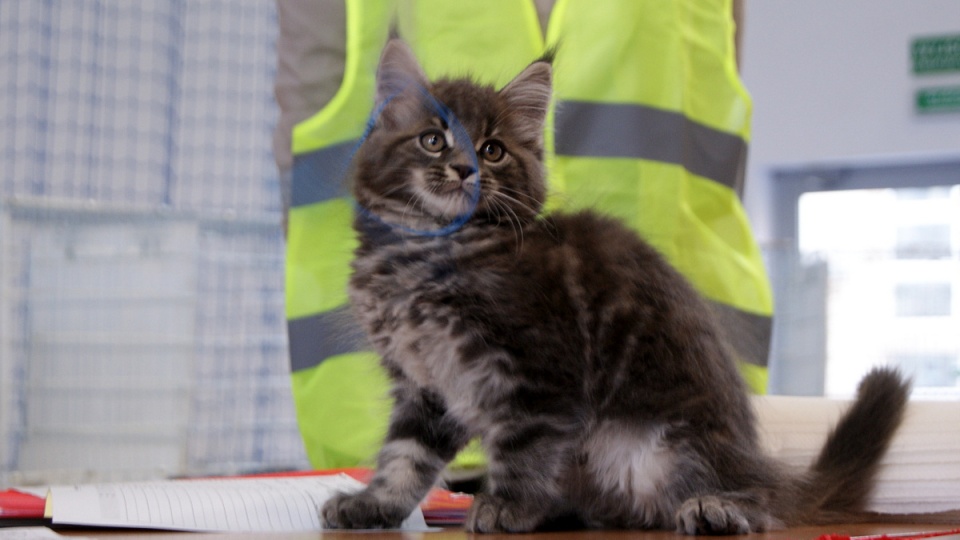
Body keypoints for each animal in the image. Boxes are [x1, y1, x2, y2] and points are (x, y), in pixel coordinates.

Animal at [318, 40, 912, 532]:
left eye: (493, 150)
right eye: (433, 140)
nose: (465, 169)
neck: (424, 254)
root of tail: (758, 463)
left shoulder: (541, 370)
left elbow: (526, 447)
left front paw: (507, 505)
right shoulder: (425, 386)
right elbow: (405, 456)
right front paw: (374, 505)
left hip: (670, 444)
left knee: (758, 502)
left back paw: (718, 509)